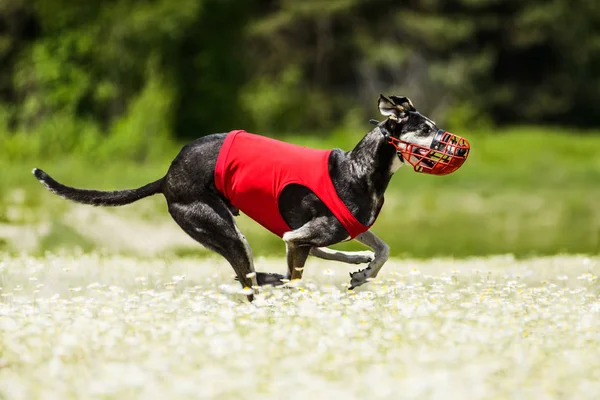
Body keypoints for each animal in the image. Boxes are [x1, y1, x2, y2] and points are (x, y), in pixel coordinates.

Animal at [32, 94, 472, 300]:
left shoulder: (347, 226)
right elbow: (296, 277)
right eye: (425, 129)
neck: (358, 169)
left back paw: (349, 262)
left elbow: (383, 249)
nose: (458, 147)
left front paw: (363, 273)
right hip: (225, 231)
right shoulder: (297, 236)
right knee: (249, 281)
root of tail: (167, 176)